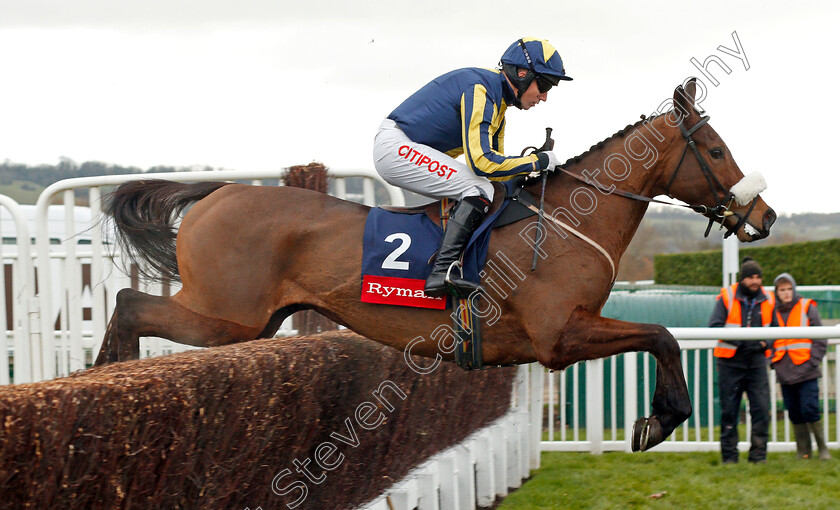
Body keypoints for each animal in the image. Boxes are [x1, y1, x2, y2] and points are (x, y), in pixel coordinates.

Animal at [97, 79, 776, 450]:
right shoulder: (558, 336)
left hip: (252, 322)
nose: (764, 216)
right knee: (129, 304)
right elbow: (661, 334)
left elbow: (659, 336)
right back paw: (104, 382)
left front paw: (660, 419)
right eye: (717, 150)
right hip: (225, 316)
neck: (568, 220)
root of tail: (216, 192)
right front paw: (661, 421)